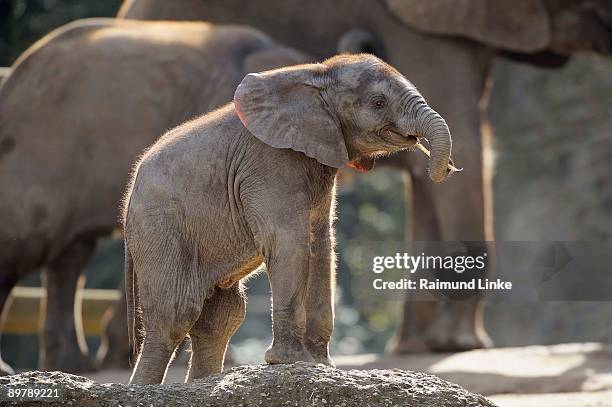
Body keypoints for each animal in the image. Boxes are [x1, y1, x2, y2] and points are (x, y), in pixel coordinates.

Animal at [124, 55, 456, 386]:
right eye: (378, 103)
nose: (444, 169)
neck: (316, 74)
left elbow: (321, 247)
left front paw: (321, 365)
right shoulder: (269, 164)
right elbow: (289, 242)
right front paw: (290, 362)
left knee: (222, 317)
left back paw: (201, 384)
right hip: (159, 228)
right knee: (177, 313)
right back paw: (144, 389)